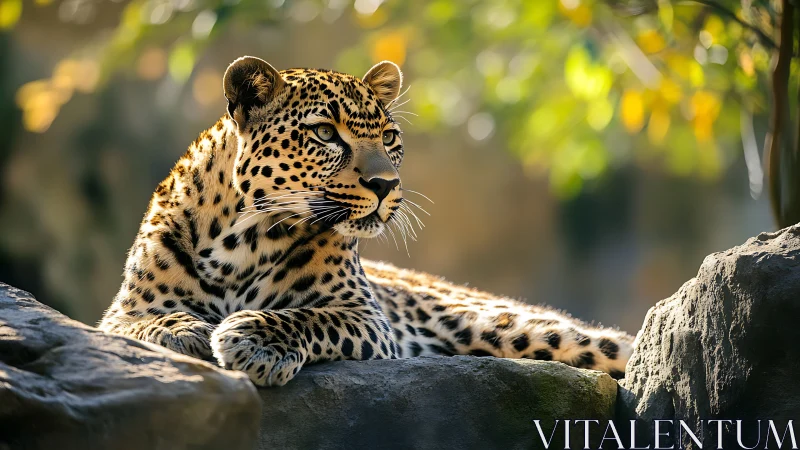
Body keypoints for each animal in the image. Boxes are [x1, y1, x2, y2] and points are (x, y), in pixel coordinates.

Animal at [99, 56, 634, 386]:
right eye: (324, 133)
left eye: (390, 137)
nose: (385, 184)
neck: (240, 240)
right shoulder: (119, 312)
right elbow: (144, 321)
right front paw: (184, 331)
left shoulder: (365, 316)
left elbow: (308, 316)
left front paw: (254, 340)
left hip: (518, 328)